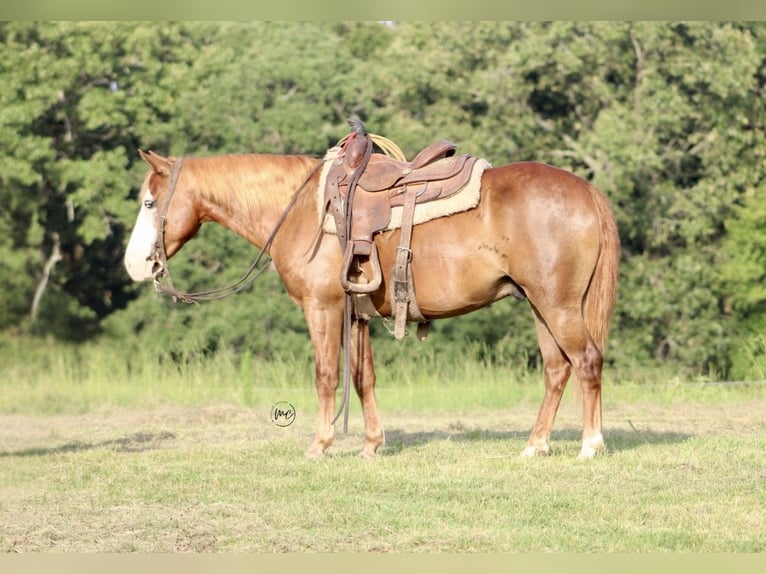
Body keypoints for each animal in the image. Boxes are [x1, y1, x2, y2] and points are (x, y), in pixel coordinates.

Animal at [124, 142, 620, 460]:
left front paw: (320, 445)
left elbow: (326, 375)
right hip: (539, 305)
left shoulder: (322, 308)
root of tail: (587, 191)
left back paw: (590, 445)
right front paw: (371, 444)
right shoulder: (354, 315)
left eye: (149, 203)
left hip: (557, 305)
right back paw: (535, 446)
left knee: (586, 361)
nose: (135, 265)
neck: (303, 210)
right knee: (557, 370)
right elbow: (364, 379)